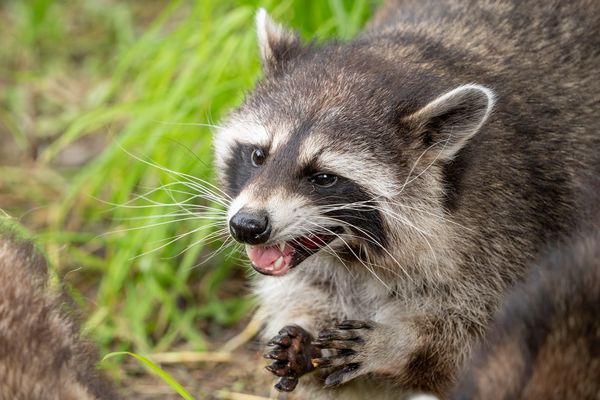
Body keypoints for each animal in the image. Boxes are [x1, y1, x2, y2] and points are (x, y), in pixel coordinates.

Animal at [213, 1, 596, 398]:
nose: (247, 226)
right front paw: (304, 331)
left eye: (324, 178)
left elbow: (476, 343)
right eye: (258, 156)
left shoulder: (518, 225)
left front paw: (400, 343)